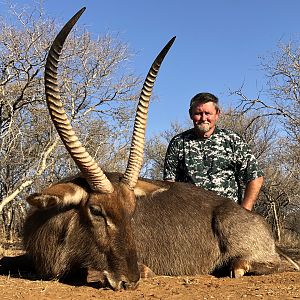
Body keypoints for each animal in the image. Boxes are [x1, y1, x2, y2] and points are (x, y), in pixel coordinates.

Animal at [21, 6, 298, 290]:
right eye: (96, 211)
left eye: (132, 211)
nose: (129, 280)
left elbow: (89, 271)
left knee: (263, 264)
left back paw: (236, 267)